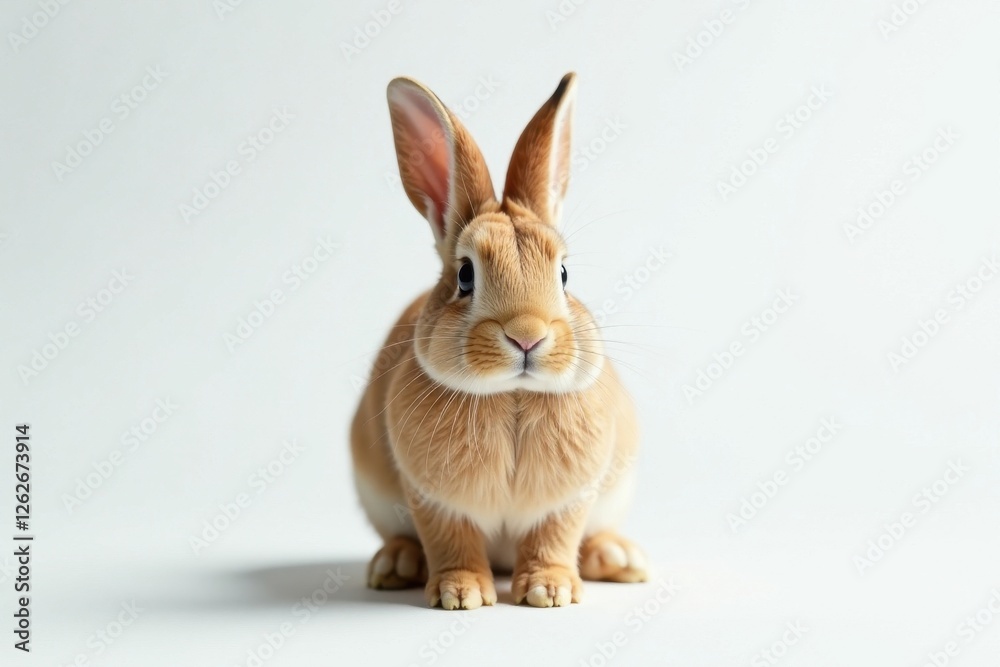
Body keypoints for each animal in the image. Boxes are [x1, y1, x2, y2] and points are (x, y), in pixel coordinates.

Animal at [350, 72, 647, 609]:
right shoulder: (433, 500)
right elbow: (452, 542)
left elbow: (555, 536)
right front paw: (460, 594)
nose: (528, 335)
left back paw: (618, 558)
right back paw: (395, 564)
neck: (512, 394)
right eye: (465, 275)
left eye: (565, 274)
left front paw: (550, 591)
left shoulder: (571, 499)